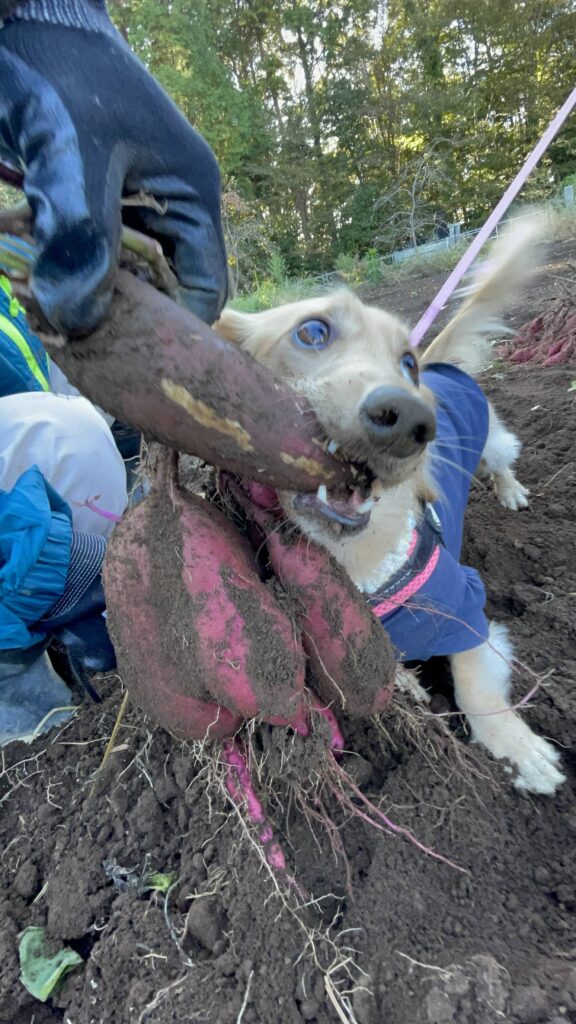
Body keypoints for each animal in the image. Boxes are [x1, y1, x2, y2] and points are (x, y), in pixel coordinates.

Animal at [216, 221, 565, 795]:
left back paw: (511, 490)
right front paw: (407, 683)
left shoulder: (468, 608)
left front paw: (520, 750)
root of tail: (443, 360)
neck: (361, 565)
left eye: (407, 363)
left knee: (503, 457)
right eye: (312, 332)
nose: (412, 420)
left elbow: (475, 688)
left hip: (492, 441)